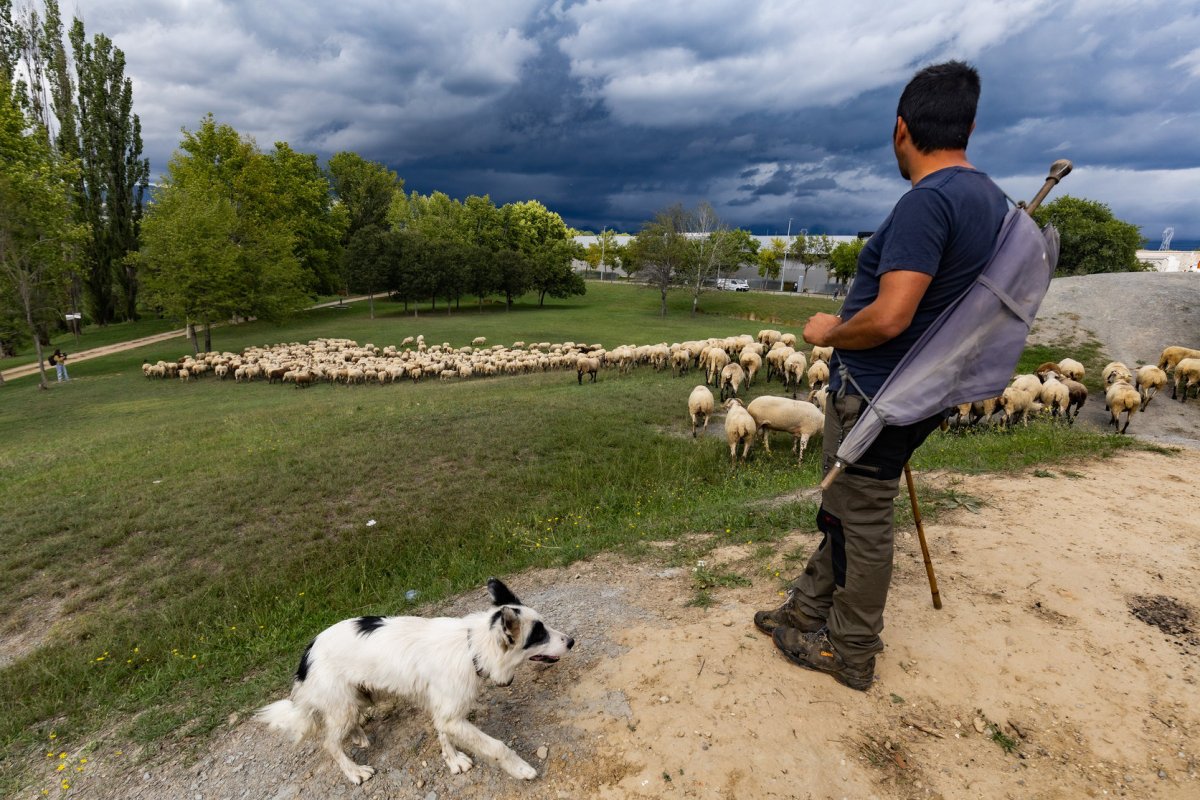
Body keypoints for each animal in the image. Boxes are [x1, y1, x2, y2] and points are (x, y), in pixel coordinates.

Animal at [255, 578, 573, 786]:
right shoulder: (452, 713)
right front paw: (520, 768)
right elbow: (496, 746)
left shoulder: (444, 710)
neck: (472, 648)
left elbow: (443, 734)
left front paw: (453, 760)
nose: (571, 641)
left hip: (354, 698)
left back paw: (357, 735)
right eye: (539, 634)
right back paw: (354, 771)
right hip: (341, 705)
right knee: (330, 743)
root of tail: (307, 653)